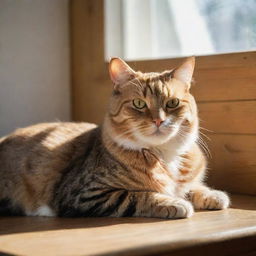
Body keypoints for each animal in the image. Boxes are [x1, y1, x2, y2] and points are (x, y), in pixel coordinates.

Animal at [0, 57, 230, 217]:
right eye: (139, 104)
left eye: (172, 103)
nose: (159, 120)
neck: (163, 155)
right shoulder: (87, 193)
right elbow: (139, 195)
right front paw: (175, 203)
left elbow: (191, 187)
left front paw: (212, 194)